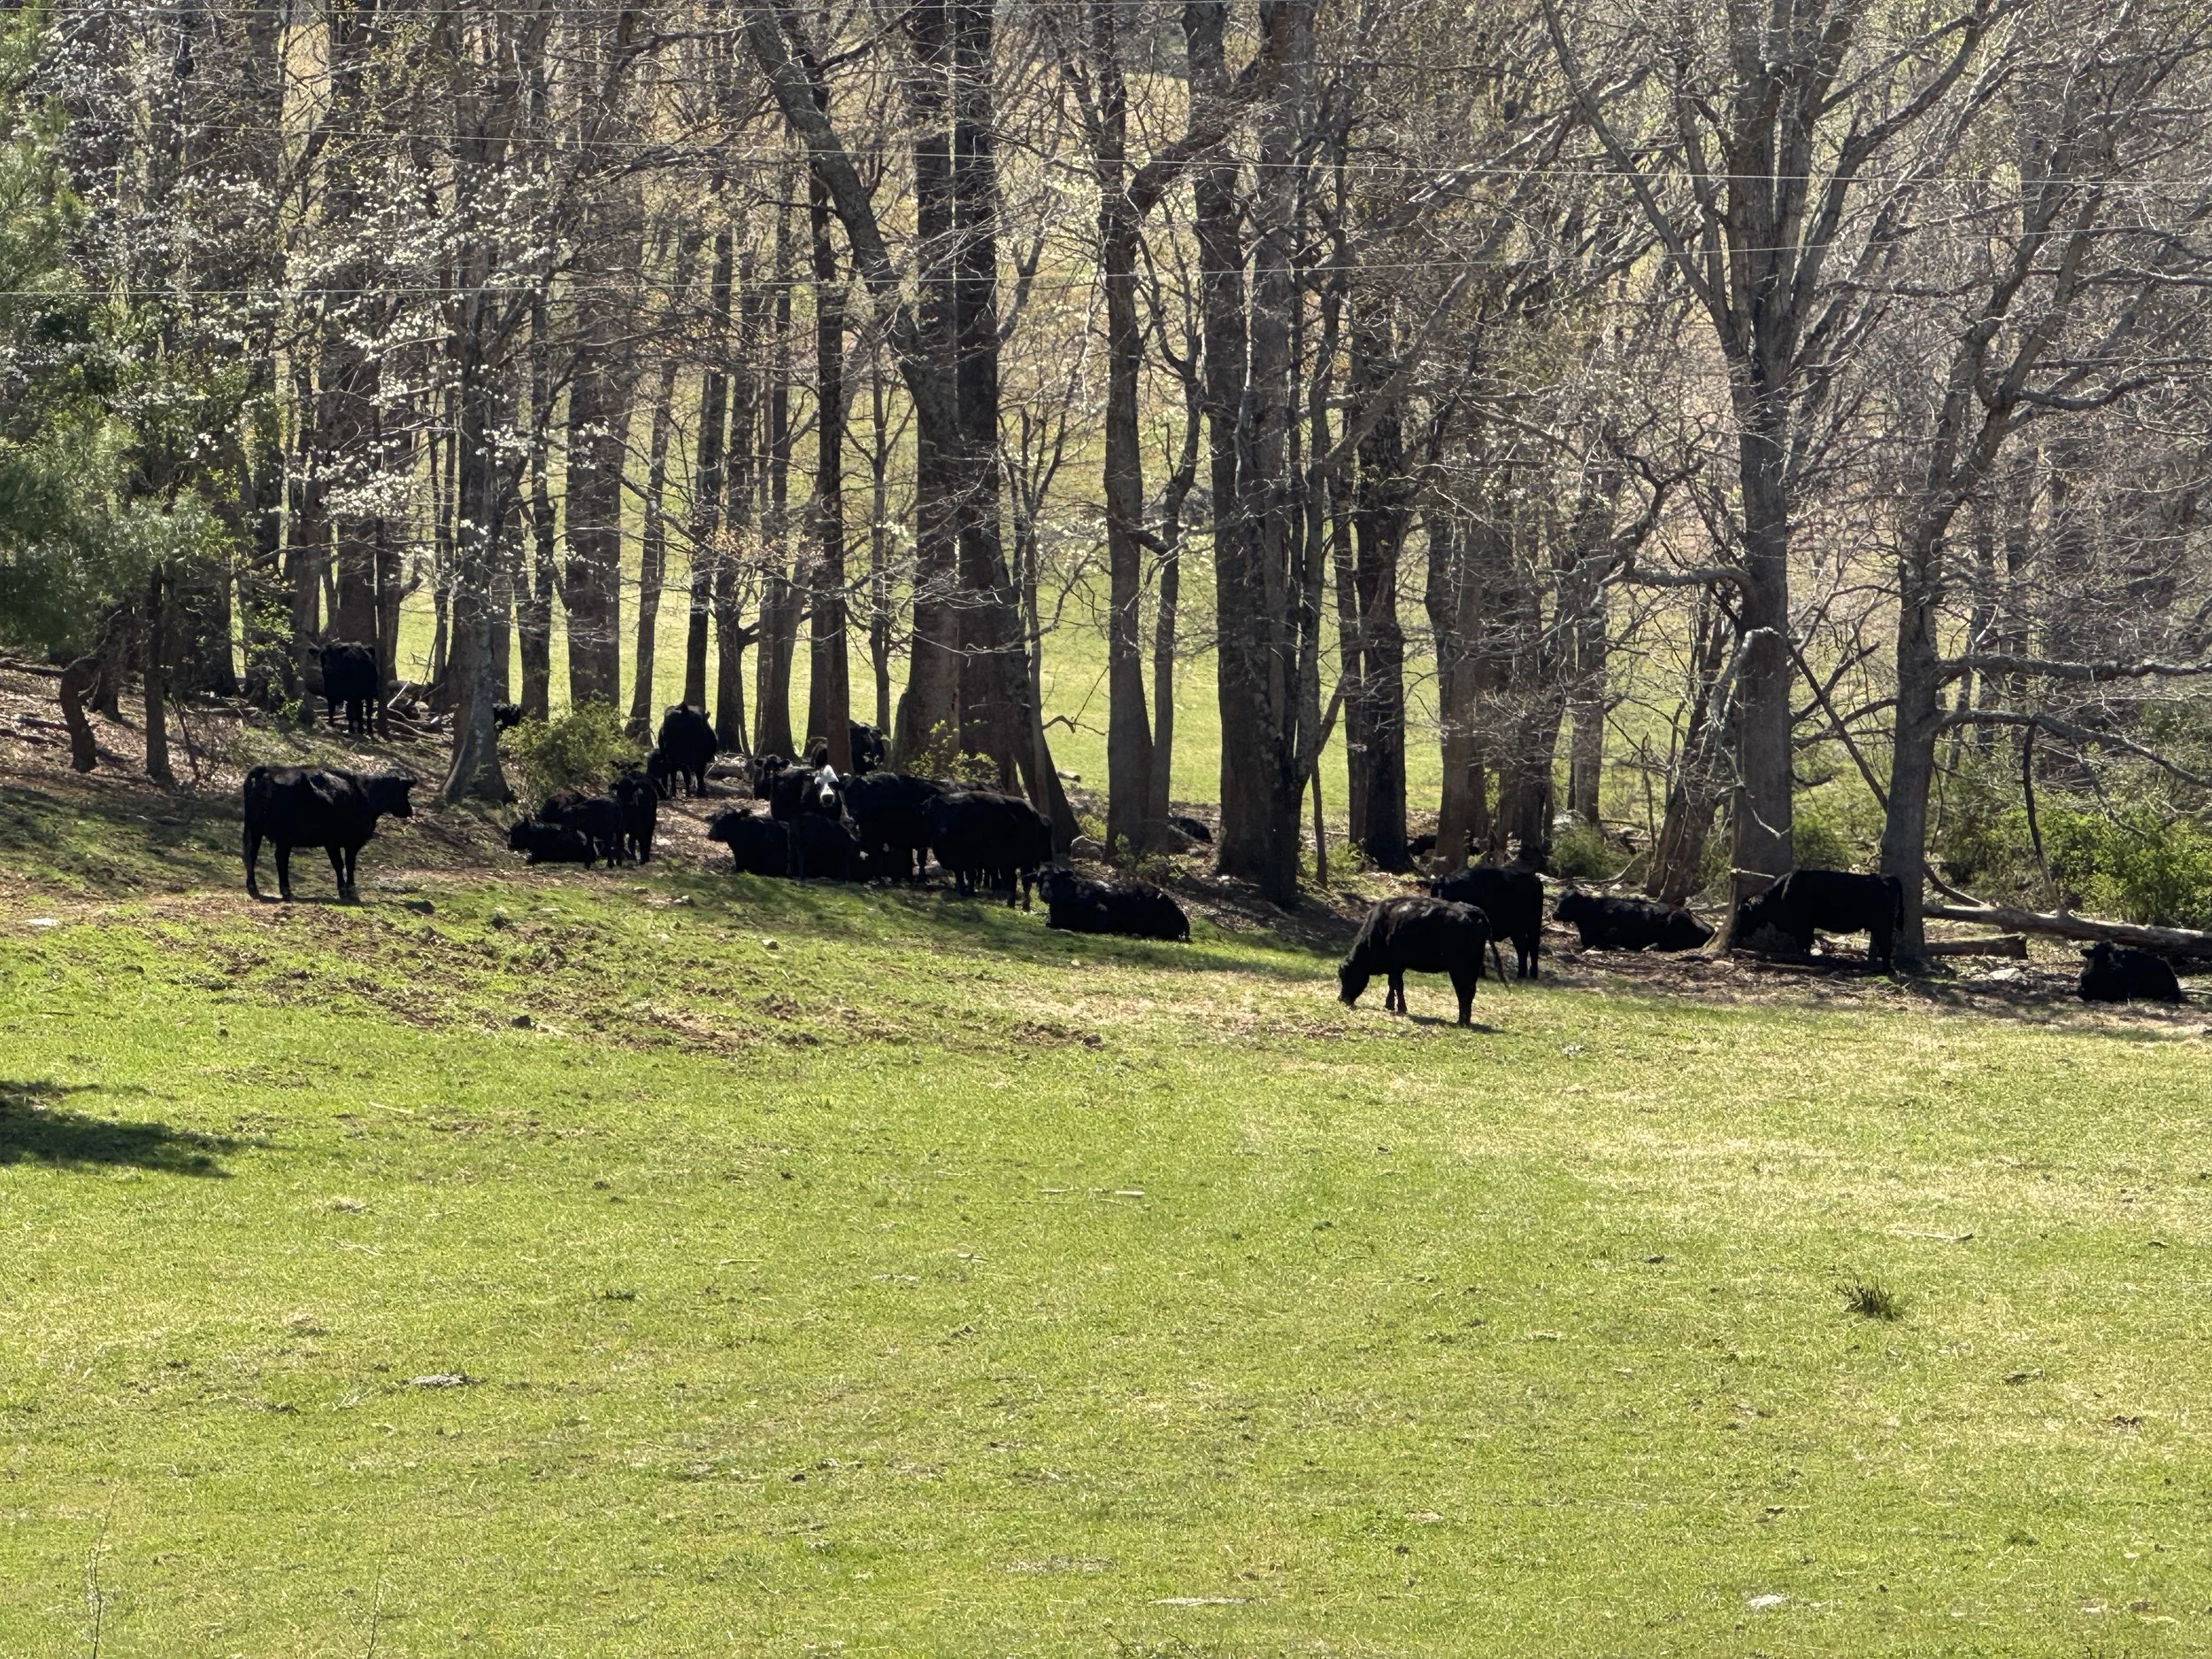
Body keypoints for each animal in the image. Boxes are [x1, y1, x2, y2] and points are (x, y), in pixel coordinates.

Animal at [242, 765, 415, 902]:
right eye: (401, 790)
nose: (410, 810)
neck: (363, 795)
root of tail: (267, 770)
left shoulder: (342, 843)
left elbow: (347, 864)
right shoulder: (341, 841)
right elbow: (343, 864)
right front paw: (347, 892)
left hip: (255, 829)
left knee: (252, 855)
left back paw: (254, 888)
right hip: (282, 835)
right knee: (280, 858)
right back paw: (286, 892)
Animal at [929, 789, 1053, 907]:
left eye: (950, 815)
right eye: (935, 815)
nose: (942, 830)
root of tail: (1037, 815)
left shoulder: (972, 861)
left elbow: (970, 876)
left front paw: (970, 892)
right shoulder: (961, 863)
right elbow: (961, 877)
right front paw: (963, 891)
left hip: (1023, 862)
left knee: (1022, 882)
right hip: (1010, 863)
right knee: (1015, 880)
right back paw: (1013, 903)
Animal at [1338, 897, 1490, 1026]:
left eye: (1348, 976)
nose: (1341, 999)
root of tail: (1473, 911)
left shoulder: (1396, 964)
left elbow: (1397, 985)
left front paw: (1400, 1008)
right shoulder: (1395, 967)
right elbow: (1392, 985)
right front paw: (1389, 1005)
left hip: (1460, 968)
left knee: (1463, 991)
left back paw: (1461, 1022)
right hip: (1472, 968)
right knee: (1469, 991)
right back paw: (1465, 1021)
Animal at [1429, 864, 1543, 980]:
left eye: (1447, 895)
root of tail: (1535, 880)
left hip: (1526, 927)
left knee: (1528, 947)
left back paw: (1526, 974)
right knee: (1527, 947)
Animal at [1731, 868, 1904, 971]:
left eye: (1744, 914)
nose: (1738, 932)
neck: (1780, 894)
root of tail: (1887, 877)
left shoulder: (1802, 926)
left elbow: (1803, 944)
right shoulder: (1807, 927)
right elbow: (1806, 945)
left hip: (1882, 926)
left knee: (1886, 946)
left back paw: (1886, 970)